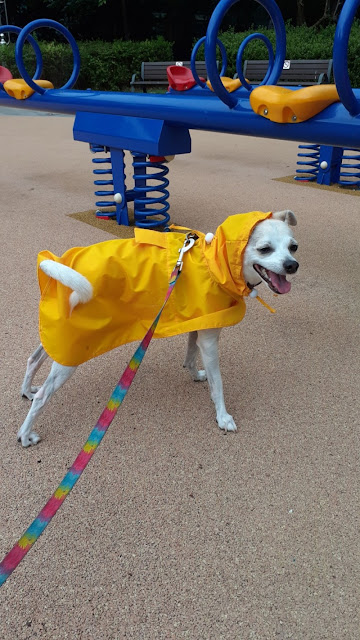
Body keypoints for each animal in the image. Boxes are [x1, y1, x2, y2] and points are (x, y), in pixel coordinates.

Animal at [16, 209, 298, 444]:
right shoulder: (209, 340)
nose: (292, 265)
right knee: (43, 396)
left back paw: (27, 391)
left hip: (60, 340)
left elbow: (190, 357)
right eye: (264, 249)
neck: (213, 264)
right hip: (72, 353)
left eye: (293, 247)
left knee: (33, 359)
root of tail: (60, 262)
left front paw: (196, 376)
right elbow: (218, 384)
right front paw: (223, 417)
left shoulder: (196, 326)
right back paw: (25, 434)